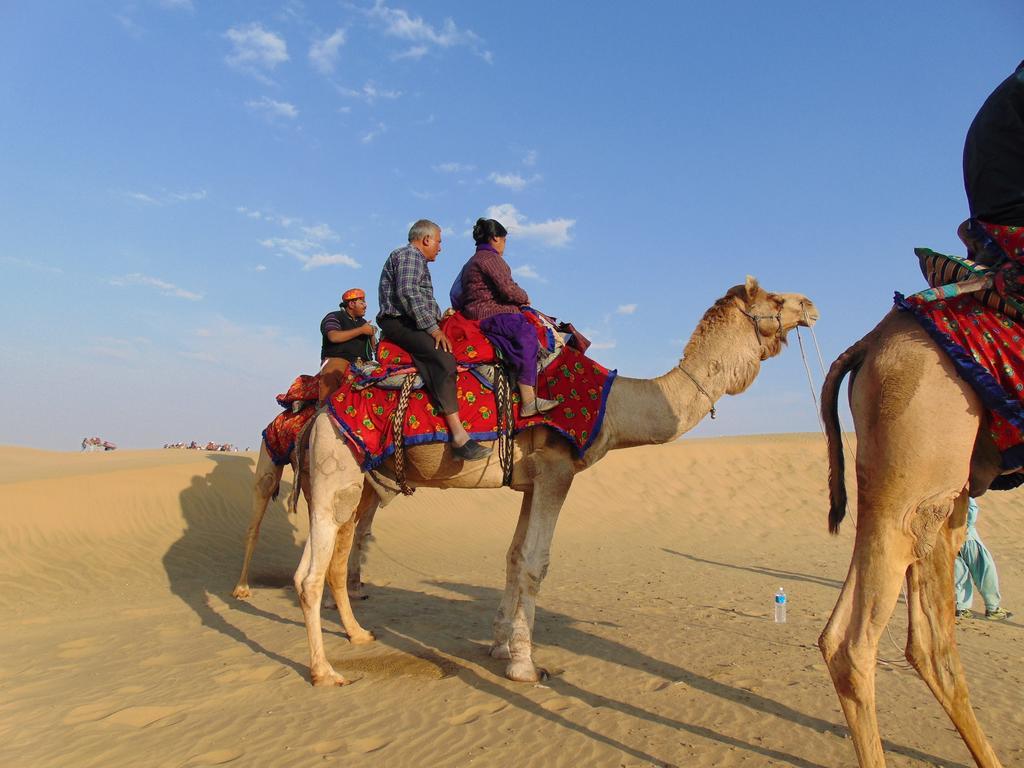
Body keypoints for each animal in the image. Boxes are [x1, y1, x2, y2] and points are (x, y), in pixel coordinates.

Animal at [292, 280, 819, 688]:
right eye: (775, 297)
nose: (812, 304)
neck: (613, 406)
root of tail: (319, 413)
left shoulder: (530, 483)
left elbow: (511, 557)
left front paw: (501, 647)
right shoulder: (557, 470)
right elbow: (534, 563)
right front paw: (526, 667)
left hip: (339, 482)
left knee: (314, 565)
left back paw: (358, 637)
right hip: (337, 469)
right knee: (313, 574)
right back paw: (325, 672)